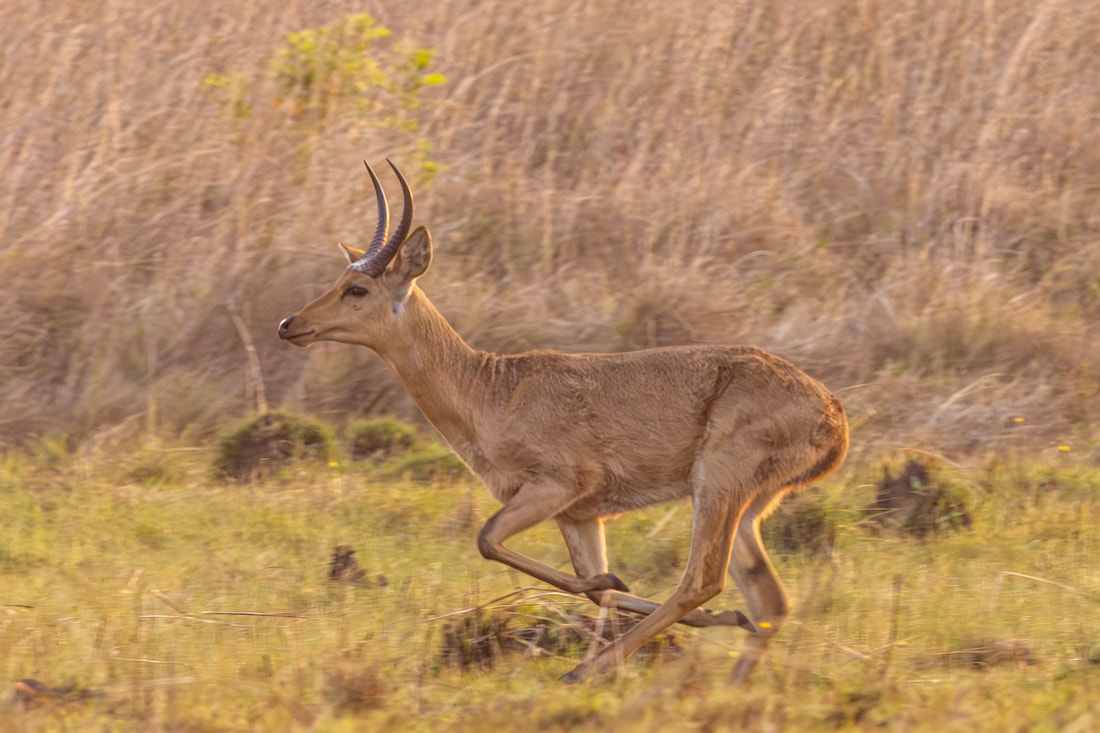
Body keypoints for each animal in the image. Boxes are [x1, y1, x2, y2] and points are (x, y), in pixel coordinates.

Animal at [278, 161, 849, 683]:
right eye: (341, 279)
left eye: (358, 290)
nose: (290, 324)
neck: (492, 389)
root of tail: (833, 413)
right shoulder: (579, 516)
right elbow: (593, 585)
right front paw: (614, 585)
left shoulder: (559, 486)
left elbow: (488, 539)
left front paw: (613, 594)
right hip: (748, 506)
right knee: (768, 601)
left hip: (718, 486)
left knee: (702, 580)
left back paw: (583, 672)